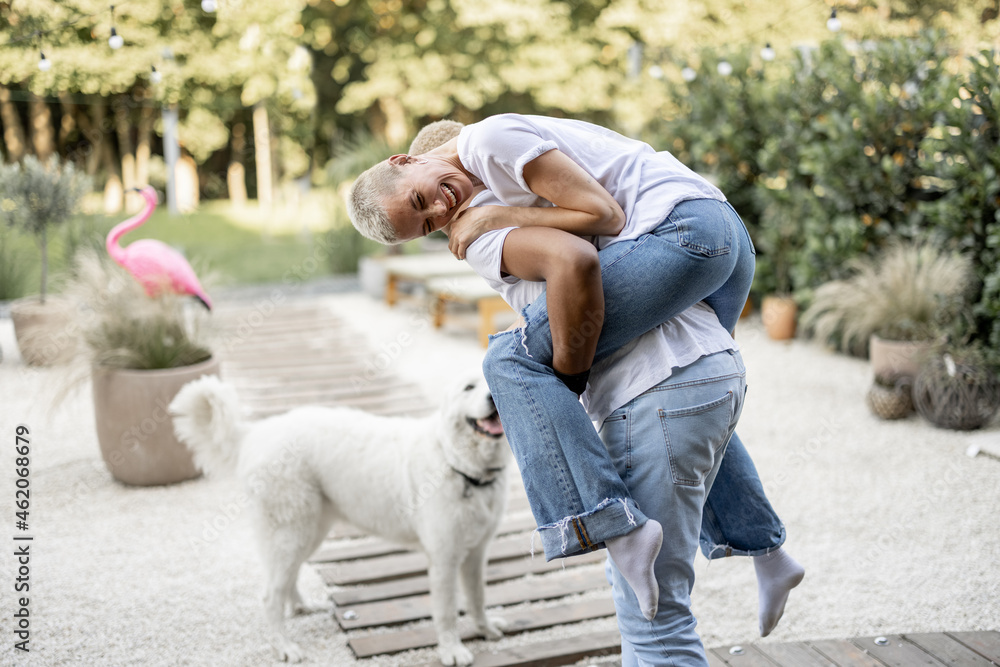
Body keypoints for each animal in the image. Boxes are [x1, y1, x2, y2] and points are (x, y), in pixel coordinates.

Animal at [169, 374, 512, 664]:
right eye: (469, 387)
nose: (493, 397)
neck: (458, 463)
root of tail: (254, 433)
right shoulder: (444, 559)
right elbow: (447, 612)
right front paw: (452, 650)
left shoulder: (476, 554)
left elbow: (478, 598)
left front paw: (485, 629)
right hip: (291, 533)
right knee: (269, 595)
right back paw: (284, 647)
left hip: (307, 532)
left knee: (287, 579)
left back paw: (301, 606)